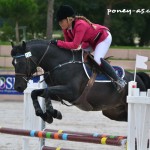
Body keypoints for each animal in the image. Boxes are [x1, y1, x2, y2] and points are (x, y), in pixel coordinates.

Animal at [10, 39, 150, 123]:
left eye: (22, 62)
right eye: (13, 63)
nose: (18, 87)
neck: (59, 63)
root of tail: (137, 78)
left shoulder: (70, 92)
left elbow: (46, 91)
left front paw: (52, 113)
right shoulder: (59, 93)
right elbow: (38, 92)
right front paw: (46, 114)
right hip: (113, 112)